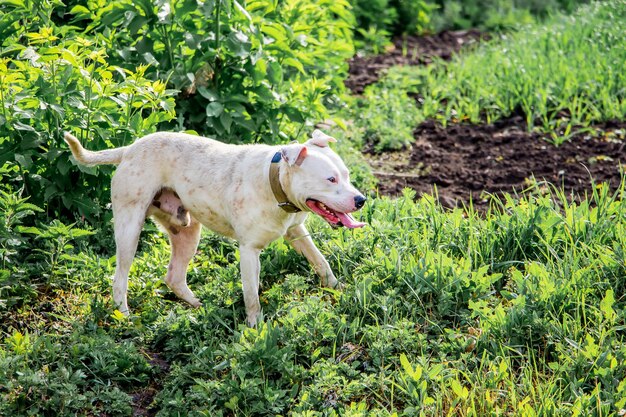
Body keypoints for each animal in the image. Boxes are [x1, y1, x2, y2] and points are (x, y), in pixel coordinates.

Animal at [62, 130, 366, 324]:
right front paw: (256, 329)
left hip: (187, 231)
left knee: (174, 276)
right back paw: (124, 316)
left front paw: (339, 289)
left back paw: (198, 305)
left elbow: (321, 262)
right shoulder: (249, 251)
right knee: (120, 277)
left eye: (347, 175)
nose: (361, 200)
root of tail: (129, 149)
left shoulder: (297, 233)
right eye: (330, 179)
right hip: (129, 228)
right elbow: (252, 294)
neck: (274, 181)